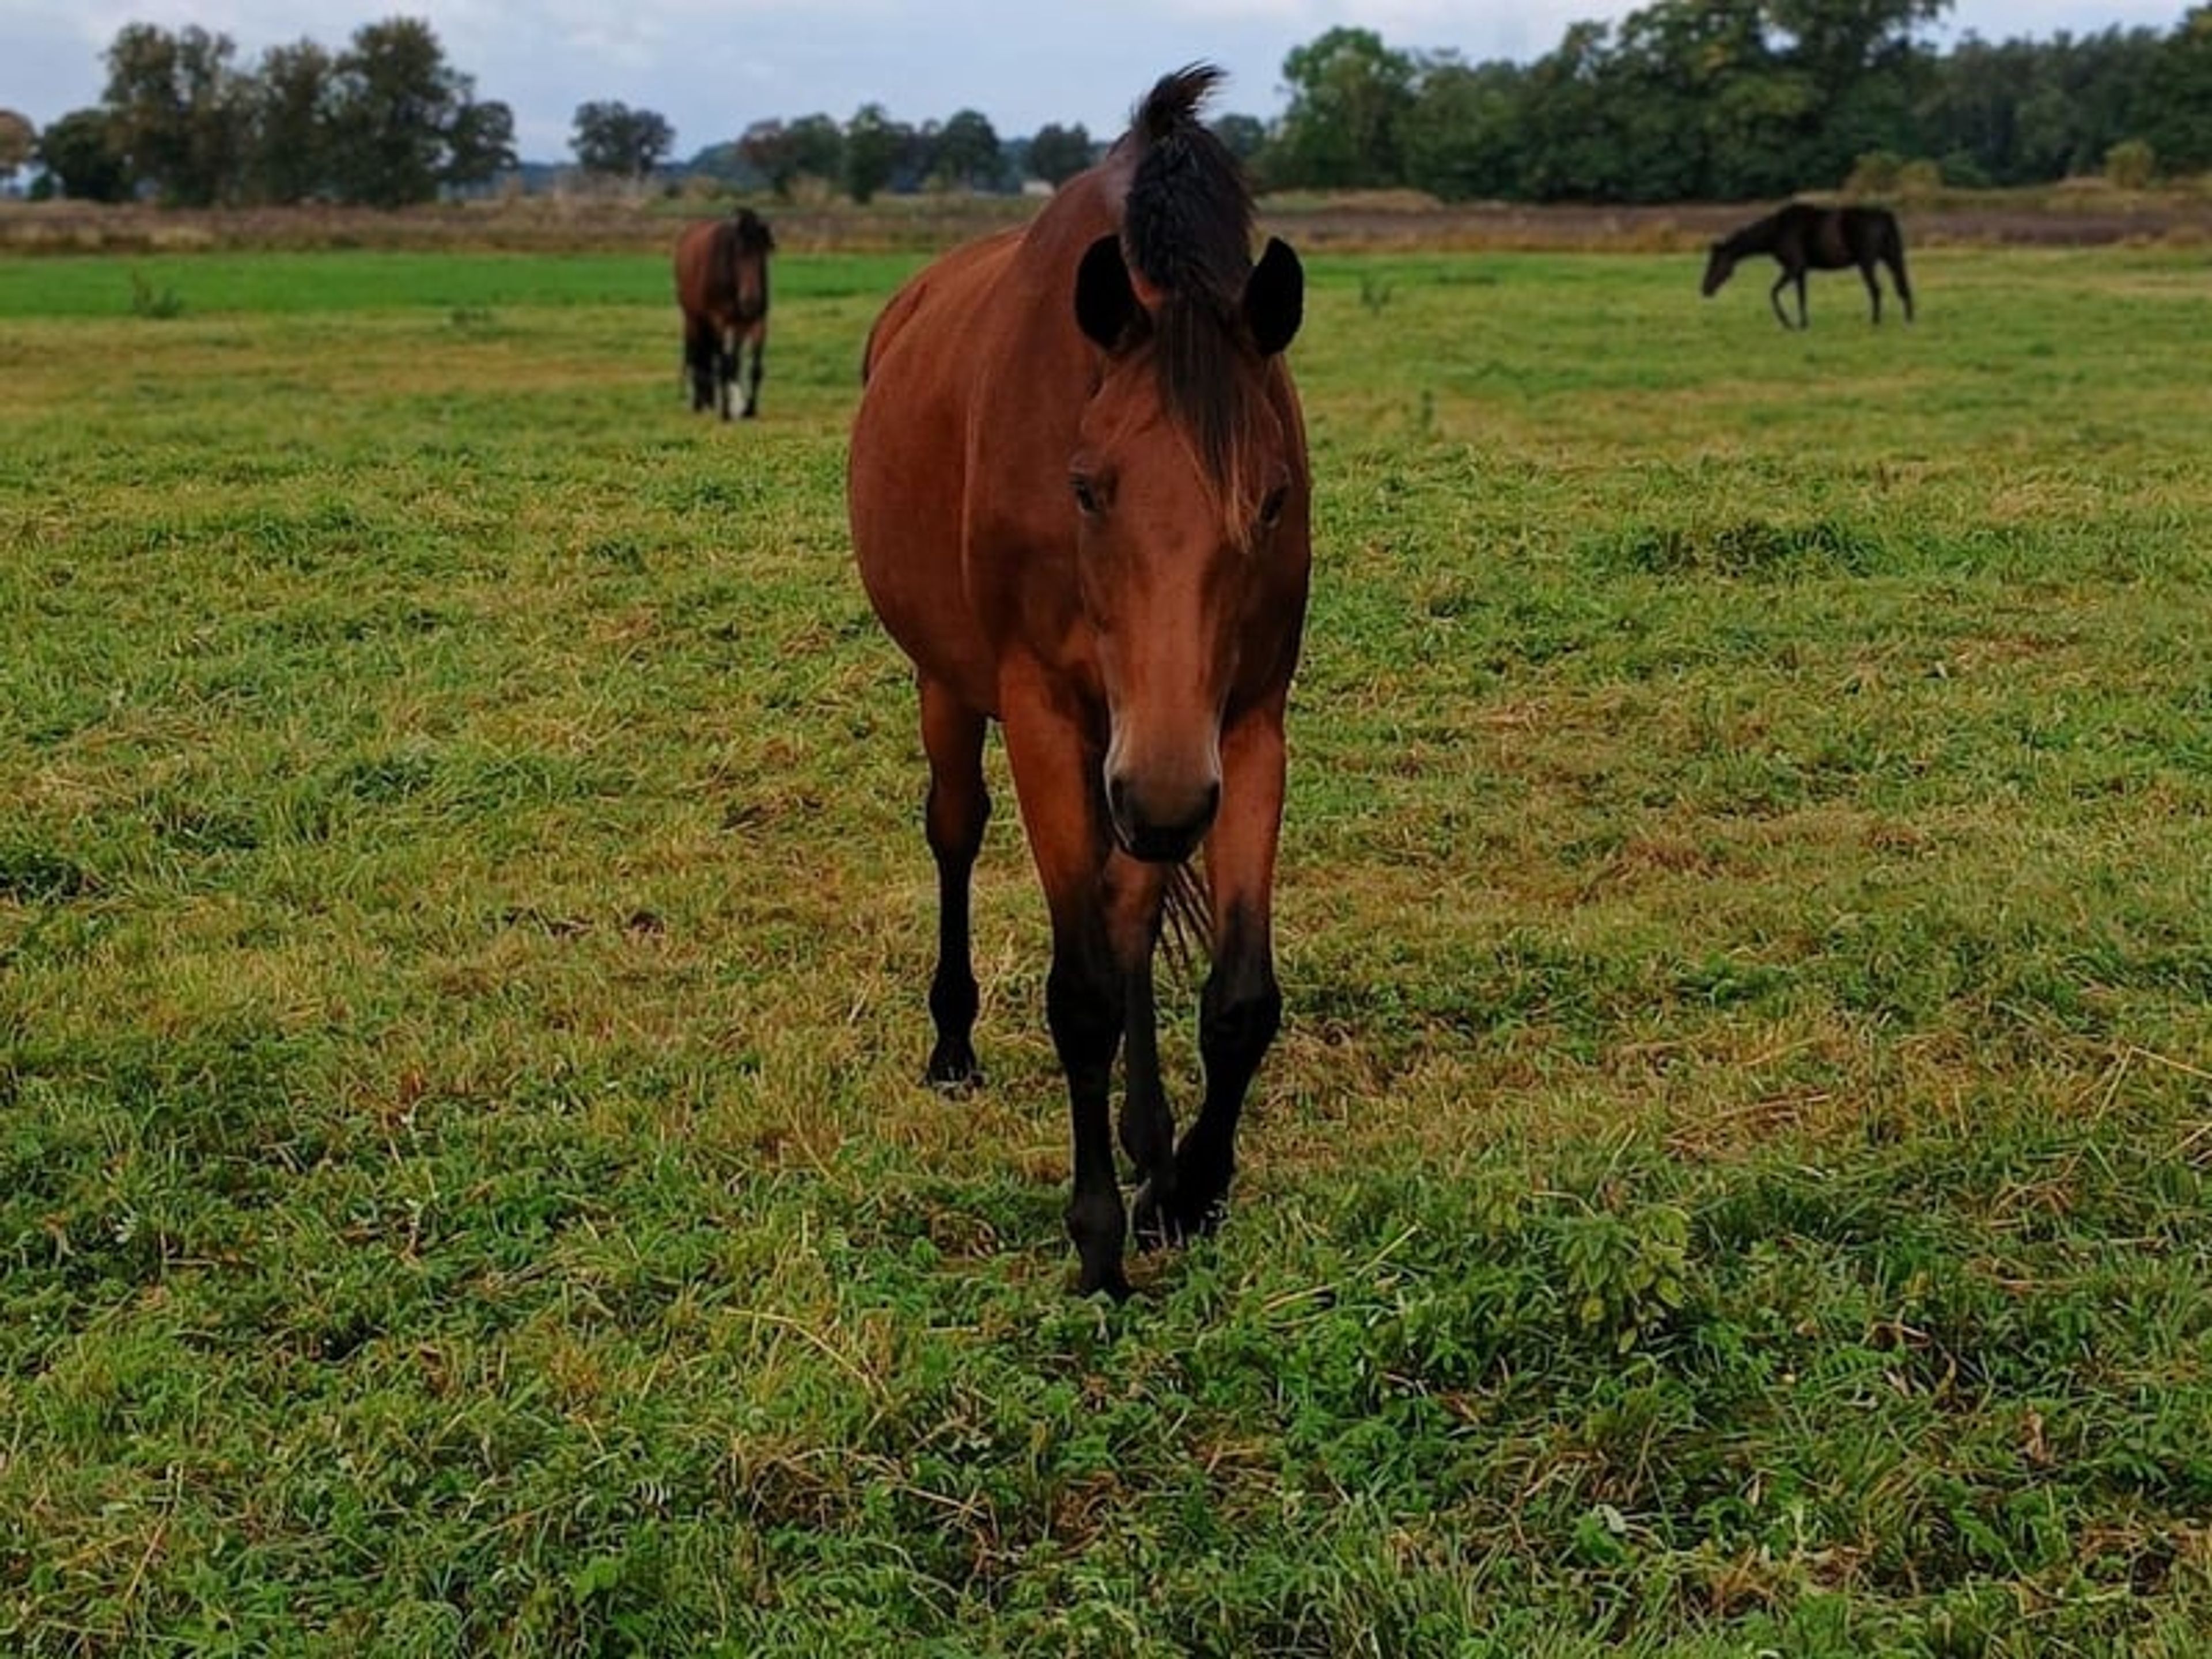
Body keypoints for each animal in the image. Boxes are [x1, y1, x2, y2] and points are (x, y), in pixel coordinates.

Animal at [673, 207, 774, 418]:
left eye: (763, 253)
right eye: (738, 254)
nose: (751, 301)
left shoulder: (757, 322)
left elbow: (755, 368)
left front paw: (749, 410)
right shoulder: (719, 321)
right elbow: (724, 366)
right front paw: (727, 412)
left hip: (734, 326)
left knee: (728, 360)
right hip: (694, 319)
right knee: (699, 358)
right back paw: (699, 404)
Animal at [848, 65, 1310, 1300]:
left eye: (1272, 499)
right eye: (1088, 488)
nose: (1164, 794)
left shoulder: (1242, 725)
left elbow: (1234, 996)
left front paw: (1186, 1192)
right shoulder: (1053, 723)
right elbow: (1083, 994)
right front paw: (1099, 1240)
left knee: (1131, 909)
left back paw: (1150, 1141)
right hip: (956, 692)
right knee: (956, 831)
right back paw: (953, 1047)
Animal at [1701, 202, 1913, 330]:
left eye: (1715, 263)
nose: (1705, 290)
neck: (1778, 230)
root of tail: (1882, 216)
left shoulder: (1793, 268)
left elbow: (1773, 293)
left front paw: (1788, 323)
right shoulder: (1801, 272)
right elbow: (1802, 298)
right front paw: (1803, 325)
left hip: (1867, 263)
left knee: (1876, 290)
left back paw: (1875, 322)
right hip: (1891, 258)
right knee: (1903, 289)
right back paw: (1909, 320)